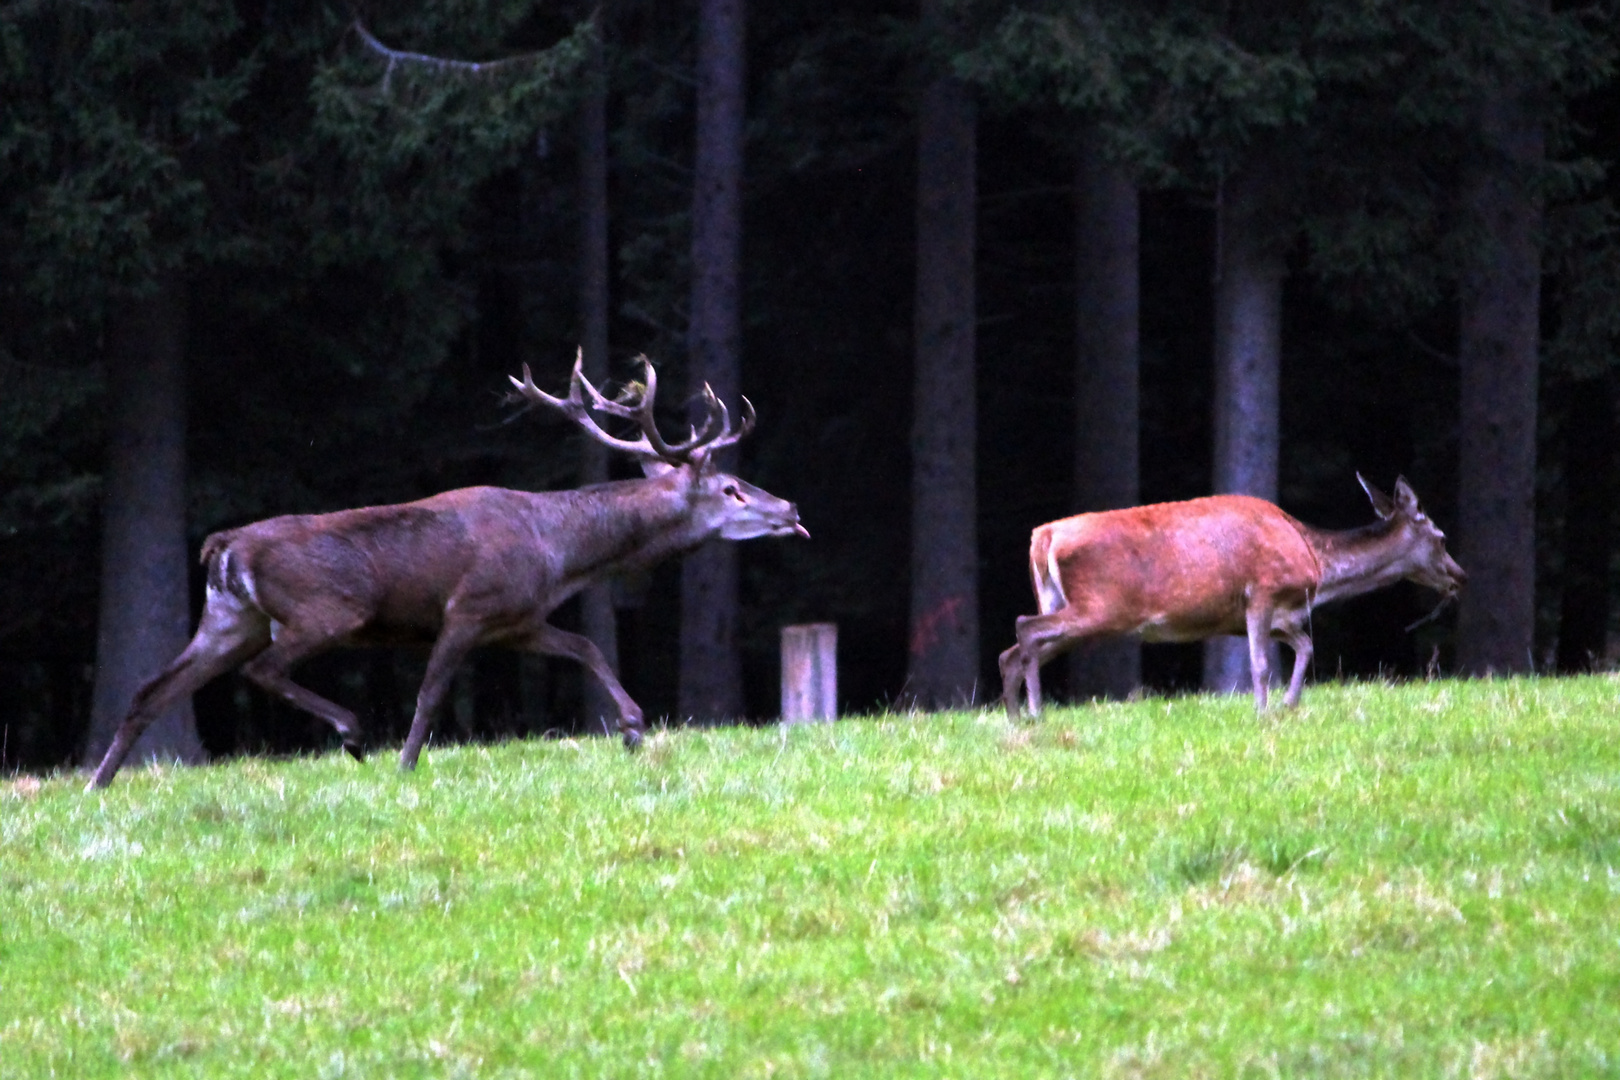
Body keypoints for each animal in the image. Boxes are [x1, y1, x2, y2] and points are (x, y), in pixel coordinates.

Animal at [85, 359, 806, 790]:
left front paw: (632, 727)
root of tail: (225, 545)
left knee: (152, 688)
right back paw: (352, 734)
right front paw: (406, 764)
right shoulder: (469, 608)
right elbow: (431, 692)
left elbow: (584, 645)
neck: (560, 554)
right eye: (733, 489)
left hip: (229, 617)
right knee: (262, 671)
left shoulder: (519, 619)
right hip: (322, 610)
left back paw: (99, 782)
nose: (792, 510)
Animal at [997, 476, 1470, 718]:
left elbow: (1305, 647)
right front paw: (1263, 713)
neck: (1315, 562)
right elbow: (1260, 666)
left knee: (1012, 650)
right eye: (1443, 538)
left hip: (1065, 604)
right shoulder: (1262, 591)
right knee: (1026, 629)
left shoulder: (1273, 616)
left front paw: (1288, 705)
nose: (1460, 576)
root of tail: (1045, 536)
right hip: (1101, 606)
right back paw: (1034, 711)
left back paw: (1016, 715)